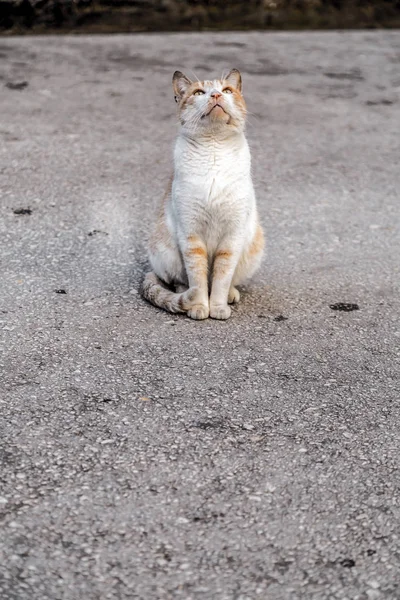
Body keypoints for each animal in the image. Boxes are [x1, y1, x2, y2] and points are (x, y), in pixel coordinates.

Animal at [142, 68, 264, 322]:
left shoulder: (231, 238)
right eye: (199, 93)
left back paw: (230, 295)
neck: (214, 150)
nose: (216, 95)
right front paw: (199, 307)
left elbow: (221, 279)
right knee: (179, 282)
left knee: (229, 281)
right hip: (166, 252)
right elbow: (197, 278)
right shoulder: (191, 235)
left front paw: (217, 308)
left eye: (227, 90)